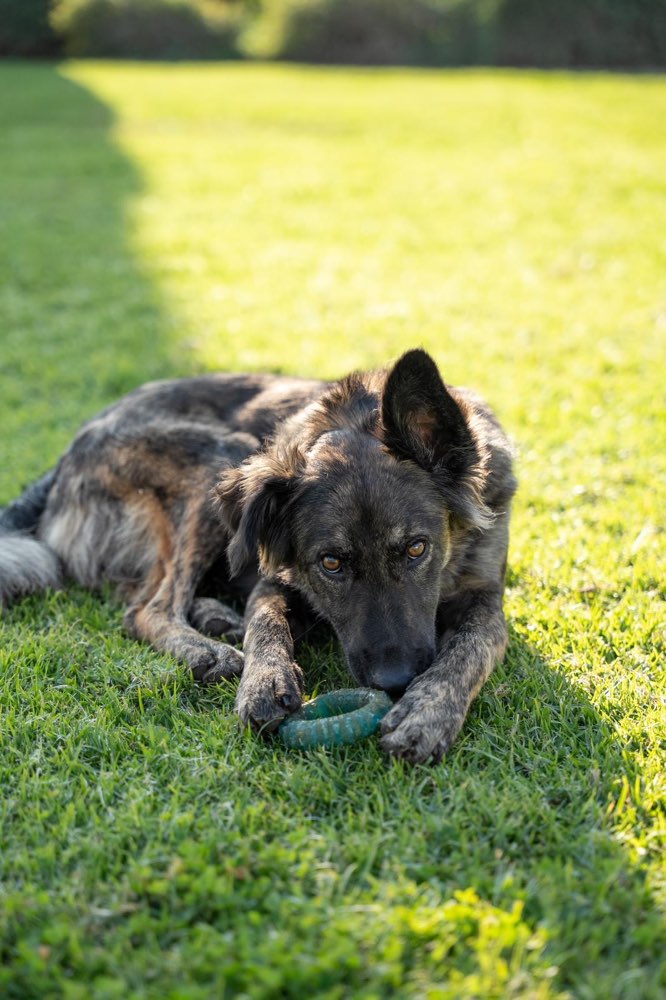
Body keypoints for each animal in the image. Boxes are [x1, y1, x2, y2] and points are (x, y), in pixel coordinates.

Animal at [1, 348, 512, 760]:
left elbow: (470, 648)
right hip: (223, 454)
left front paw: (426, 711)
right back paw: (209, 649)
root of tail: (64, 458)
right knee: (148, 608)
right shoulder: (273, 580)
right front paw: (264, 679)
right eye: (331, 563)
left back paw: (214, 618)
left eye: (416, 548)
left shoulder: (485, 597)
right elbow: (265, 624)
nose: (395, 680)